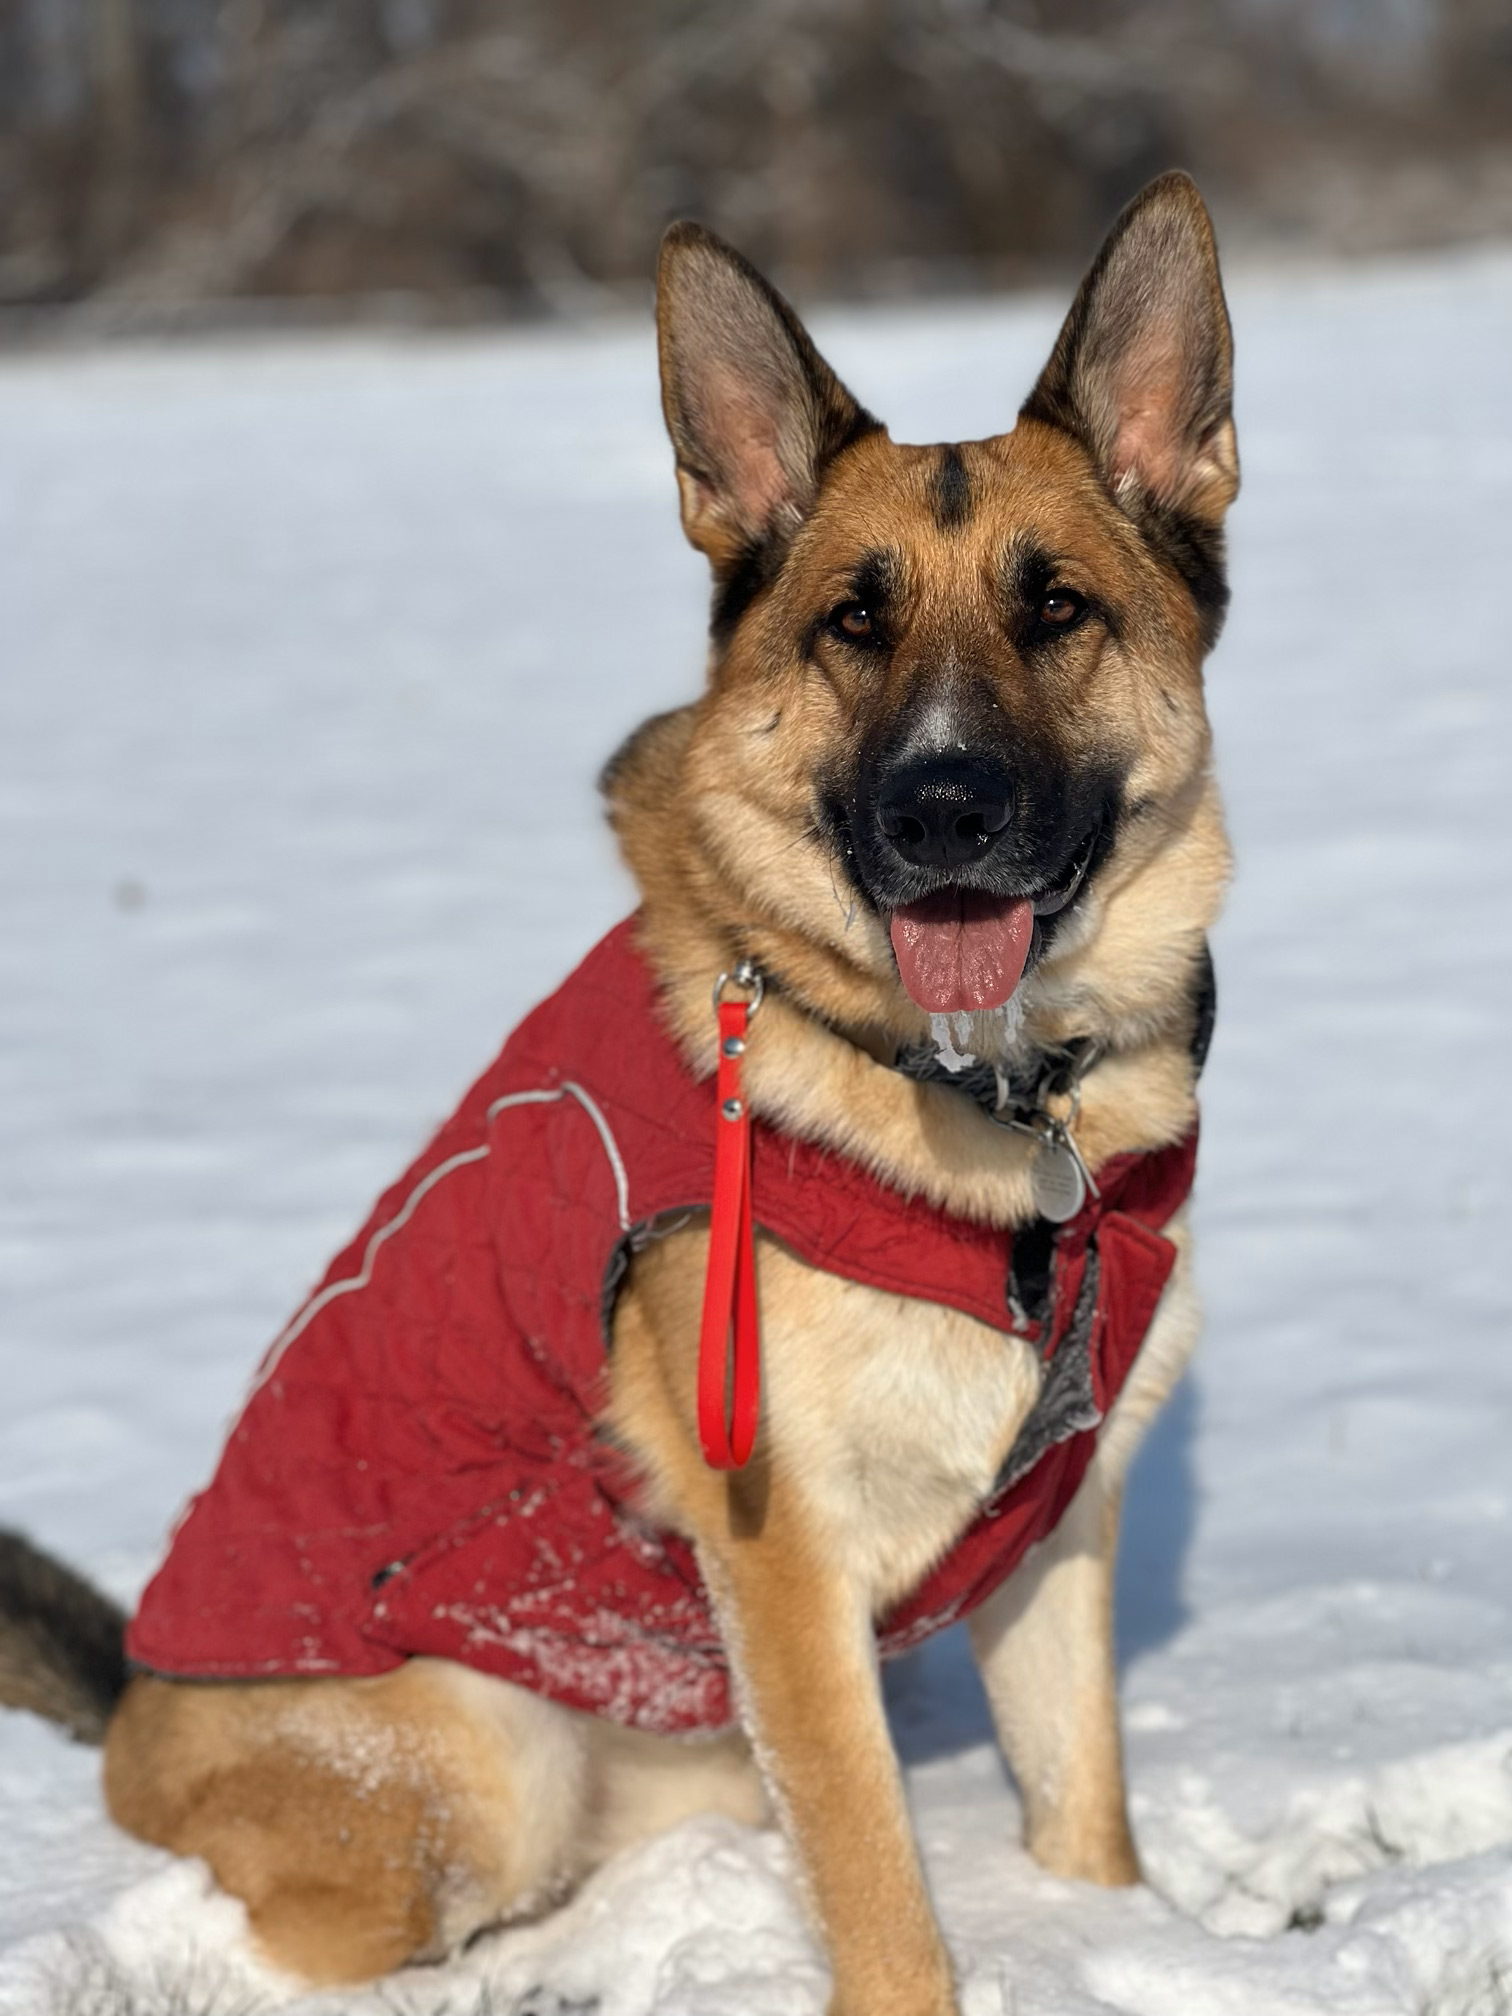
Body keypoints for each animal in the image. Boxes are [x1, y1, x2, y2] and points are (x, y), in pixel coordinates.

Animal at [1, 170, 1236, 2016]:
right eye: (854, 620)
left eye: (1056, 609)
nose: (940, 811)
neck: (1000, 1108)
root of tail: (136, 1712)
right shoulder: (782, 1566)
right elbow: (878, 1889)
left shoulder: (1052, 1539)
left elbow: (1082, 1821)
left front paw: (1109, 1940)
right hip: (474, 1770)